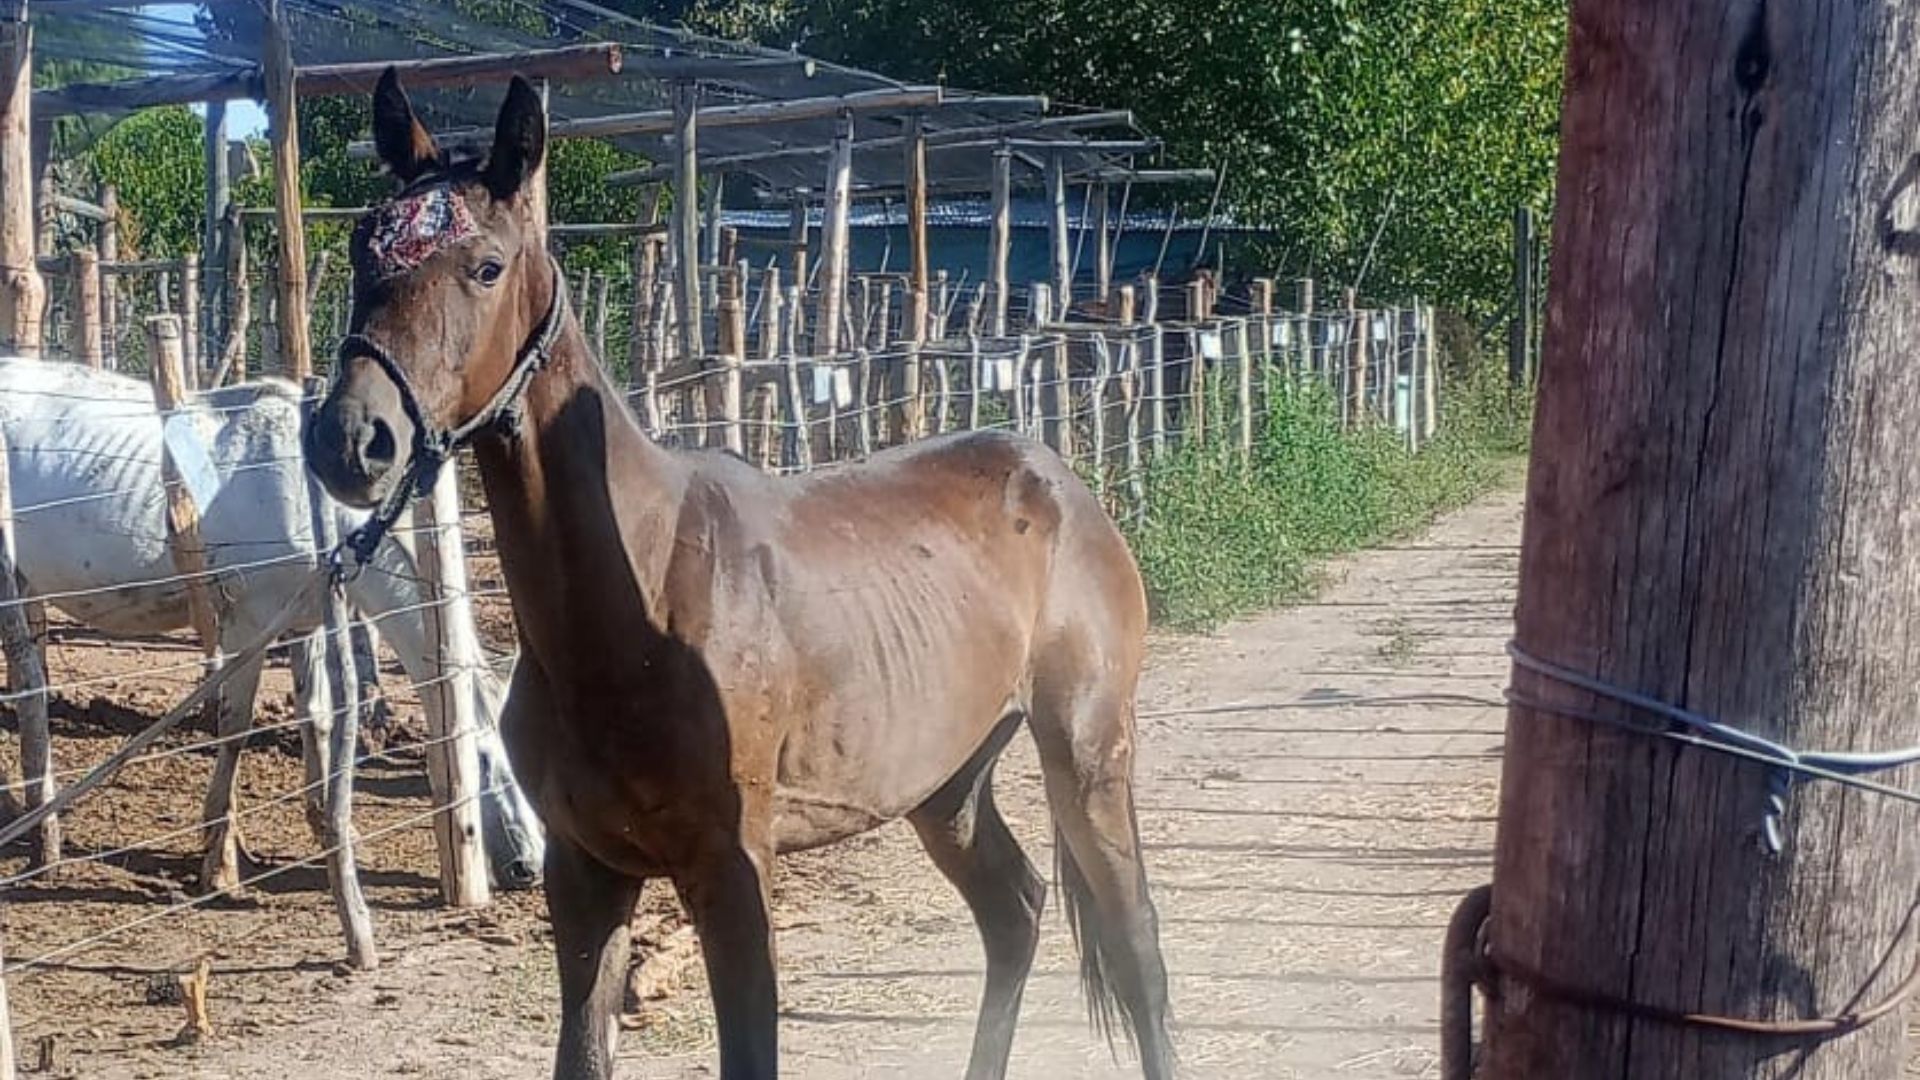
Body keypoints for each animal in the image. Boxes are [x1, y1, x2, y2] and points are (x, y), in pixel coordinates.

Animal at [0, 357, 544, 892]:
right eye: (482, 759)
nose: (530, 866)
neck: (309, 498)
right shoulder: (248, 623)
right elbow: (234, 728)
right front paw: (218, 858)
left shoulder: (306, 624)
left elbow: (315, 717)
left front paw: (328, 827)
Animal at [304, 71, 1173, 1080]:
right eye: (365, 245)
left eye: (485, 266)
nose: (350, 440)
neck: (635, 614)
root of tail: (1060, 480)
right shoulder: (584, 872)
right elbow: (581, 1053)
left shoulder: (732, 870)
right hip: (946, 784)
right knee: (1015, 912)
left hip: (1088, 753)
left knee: (1136, 947)